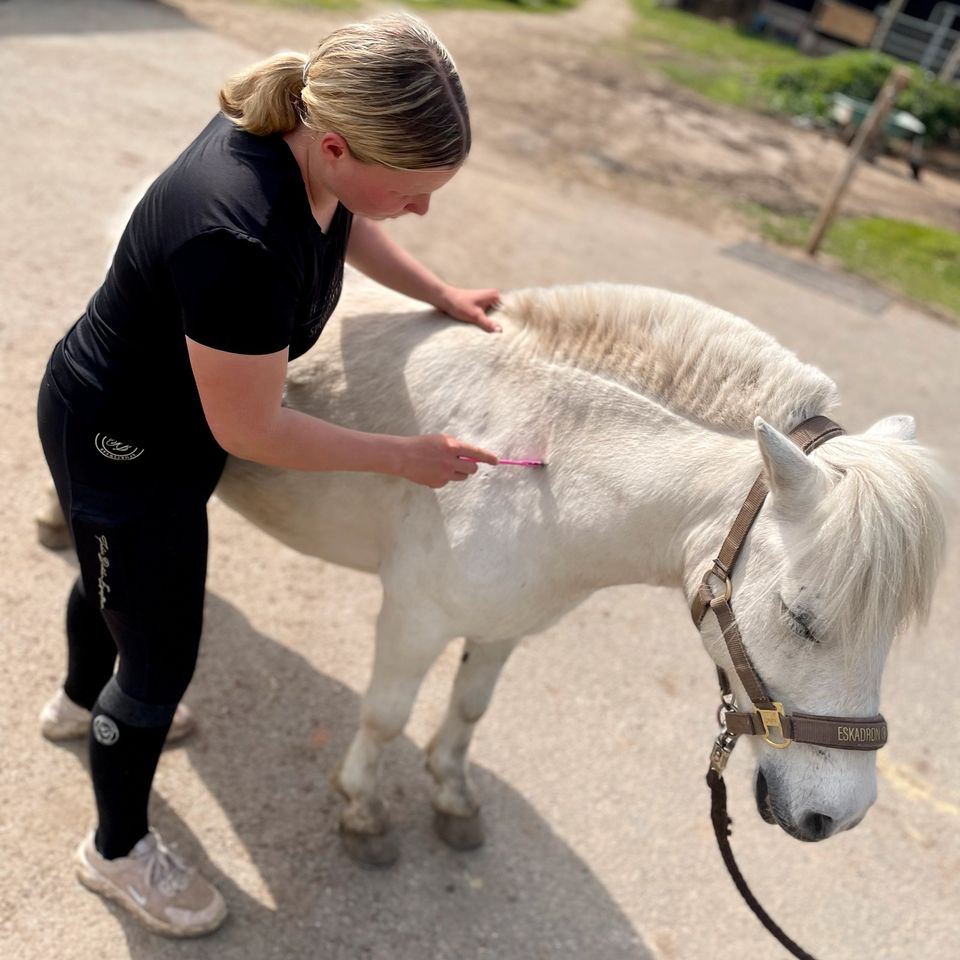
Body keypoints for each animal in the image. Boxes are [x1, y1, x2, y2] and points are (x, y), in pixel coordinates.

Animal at [208, 270, 944, 864]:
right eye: (799, 617)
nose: (838, 816)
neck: (544, 460)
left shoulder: (504, 624)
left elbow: (470, 707)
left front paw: (451, 795)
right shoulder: (414, 618)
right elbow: (386, 715)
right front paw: (362, 810)